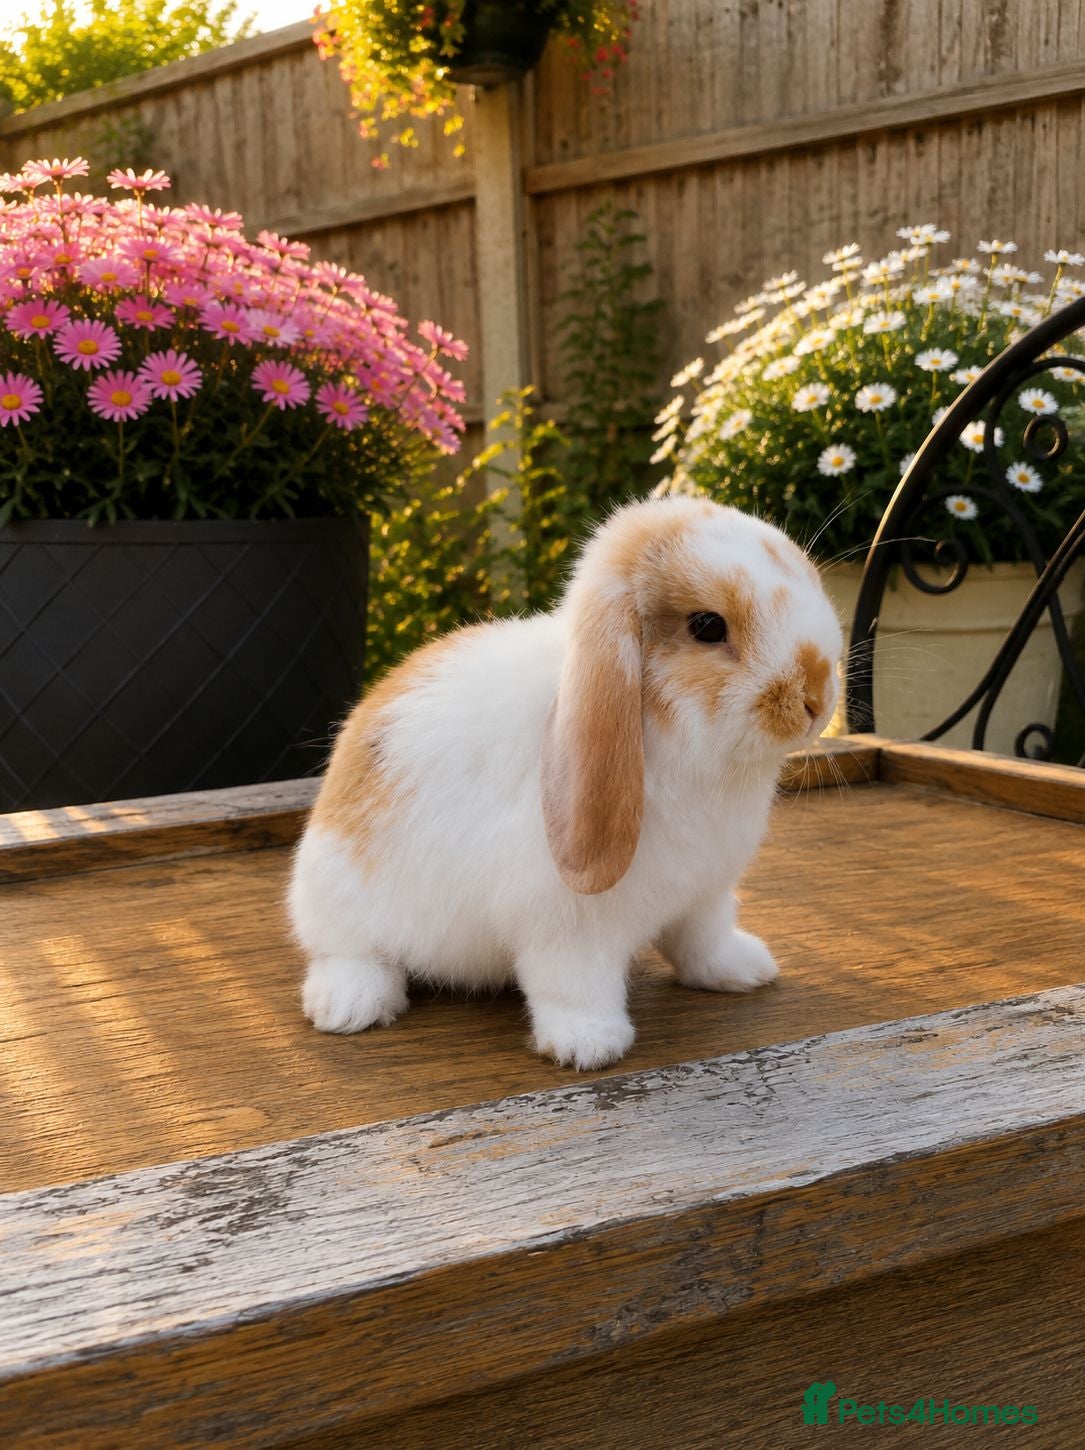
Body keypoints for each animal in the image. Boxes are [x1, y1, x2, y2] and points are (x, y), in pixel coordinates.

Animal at [287, 494, 843, 1070]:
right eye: (708, 626)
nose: (817, 698)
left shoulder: (704, 895)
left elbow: (702, 941)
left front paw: (744, 969)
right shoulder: (565, 929)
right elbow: (573, 985)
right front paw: (589, 1044)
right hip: (339, 902)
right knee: (345, 952)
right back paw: (348, 1005)